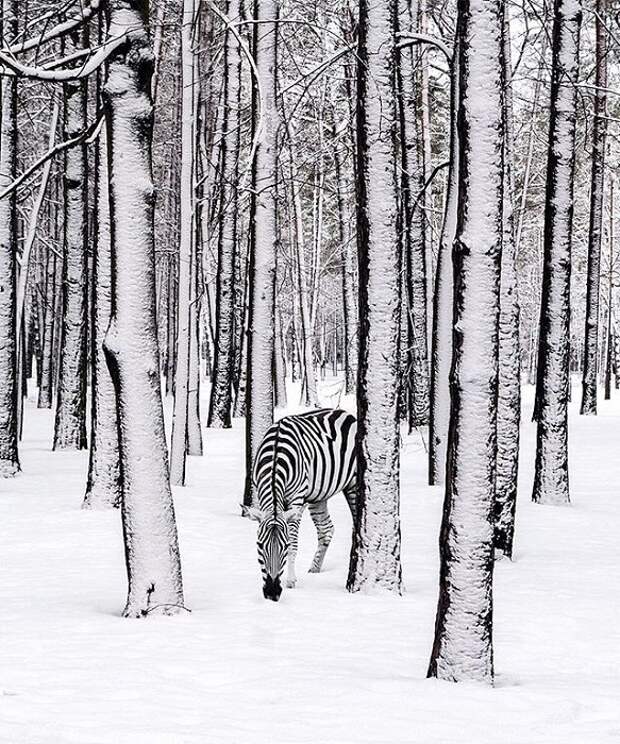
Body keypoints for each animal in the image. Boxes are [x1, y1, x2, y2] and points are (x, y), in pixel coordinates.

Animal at [242, 410, 358, 600]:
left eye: (285, 546)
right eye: (259, 546)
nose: (272, 593)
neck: (276, 455)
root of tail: (345, 413)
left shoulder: (297, 499)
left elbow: (294, 542)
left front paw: (290, 581)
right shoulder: (260, 491)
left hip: (353, 484)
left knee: (358, 523)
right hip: (318, 496)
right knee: (326, 529)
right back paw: (315, 568)